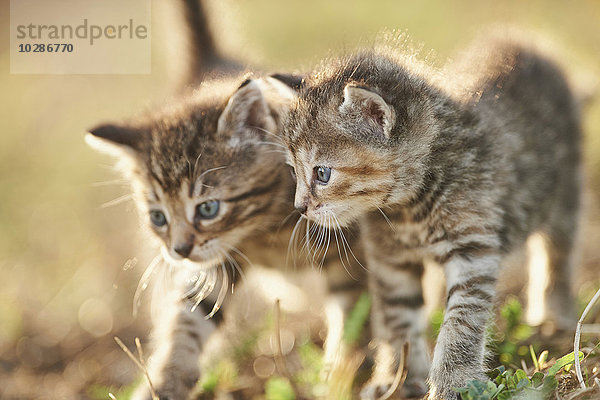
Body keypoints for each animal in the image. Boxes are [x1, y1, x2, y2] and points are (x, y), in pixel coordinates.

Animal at [86, 76, 364, 400]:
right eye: (158, 217)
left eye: (208, 208)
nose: (180, 250)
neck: (265, 231)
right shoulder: (215, 262)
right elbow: (189, 319)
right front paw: (165, 382)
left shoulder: (353, 248)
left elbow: (352, 315)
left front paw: (339, 377)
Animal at [282, 36, 580, 396]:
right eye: (293, 171)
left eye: (322, 174)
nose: (300, 207)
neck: (410, 208)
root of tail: (525, 44)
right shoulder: (390, 260)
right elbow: (398, 318)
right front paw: (397, 379)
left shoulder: (472, 248)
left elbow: (461, 320)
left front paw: (455, 381)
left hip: (564, 191)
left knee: (557, 255)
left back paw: (555, 314)